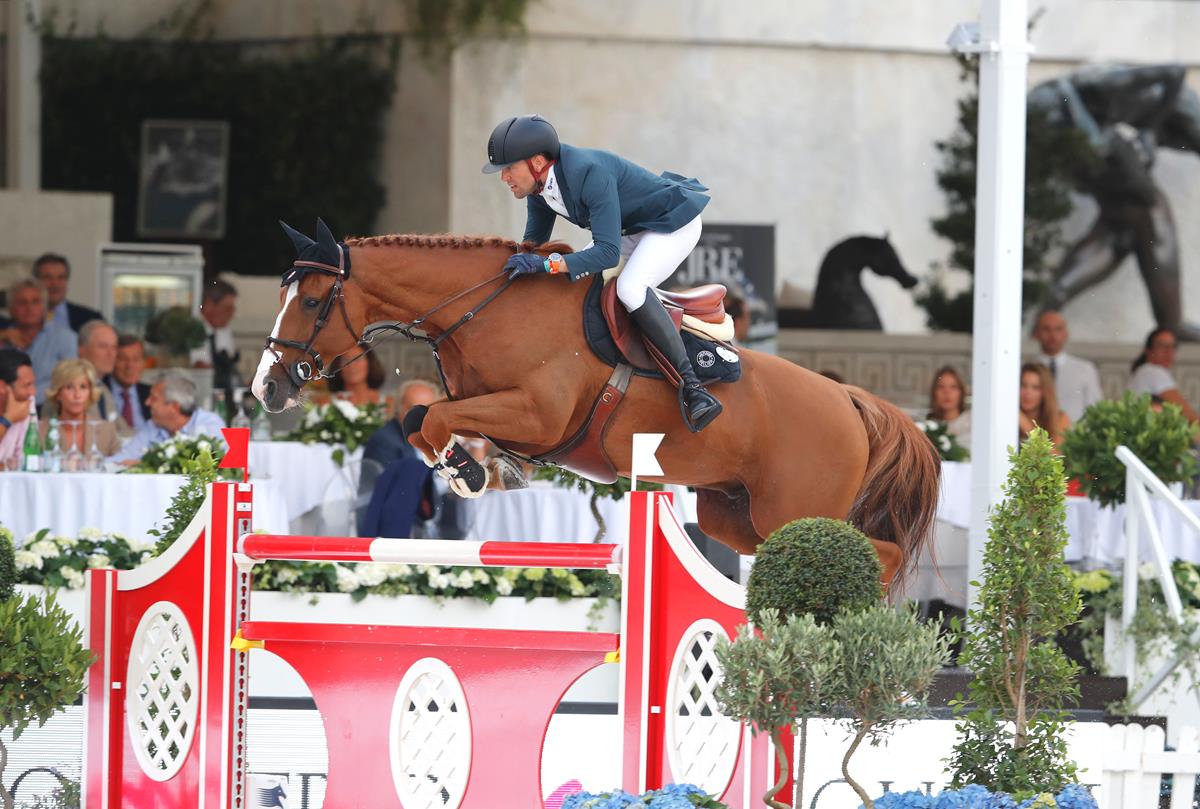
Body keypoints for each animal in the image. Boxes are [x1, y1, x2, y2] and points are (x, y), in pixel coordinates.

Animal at [255, 220, 945, 585]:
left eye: (312, 302)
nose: (267, 387)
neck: (482, 309)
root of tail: (849, 400)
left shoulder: (537, 414)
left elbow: (434, 417)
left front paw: (471, 472)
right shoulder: (497, 407)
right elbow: (423, 419)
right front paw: (483, 470)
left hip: (796, 507)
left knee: (872, 553)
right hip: (735, 513)